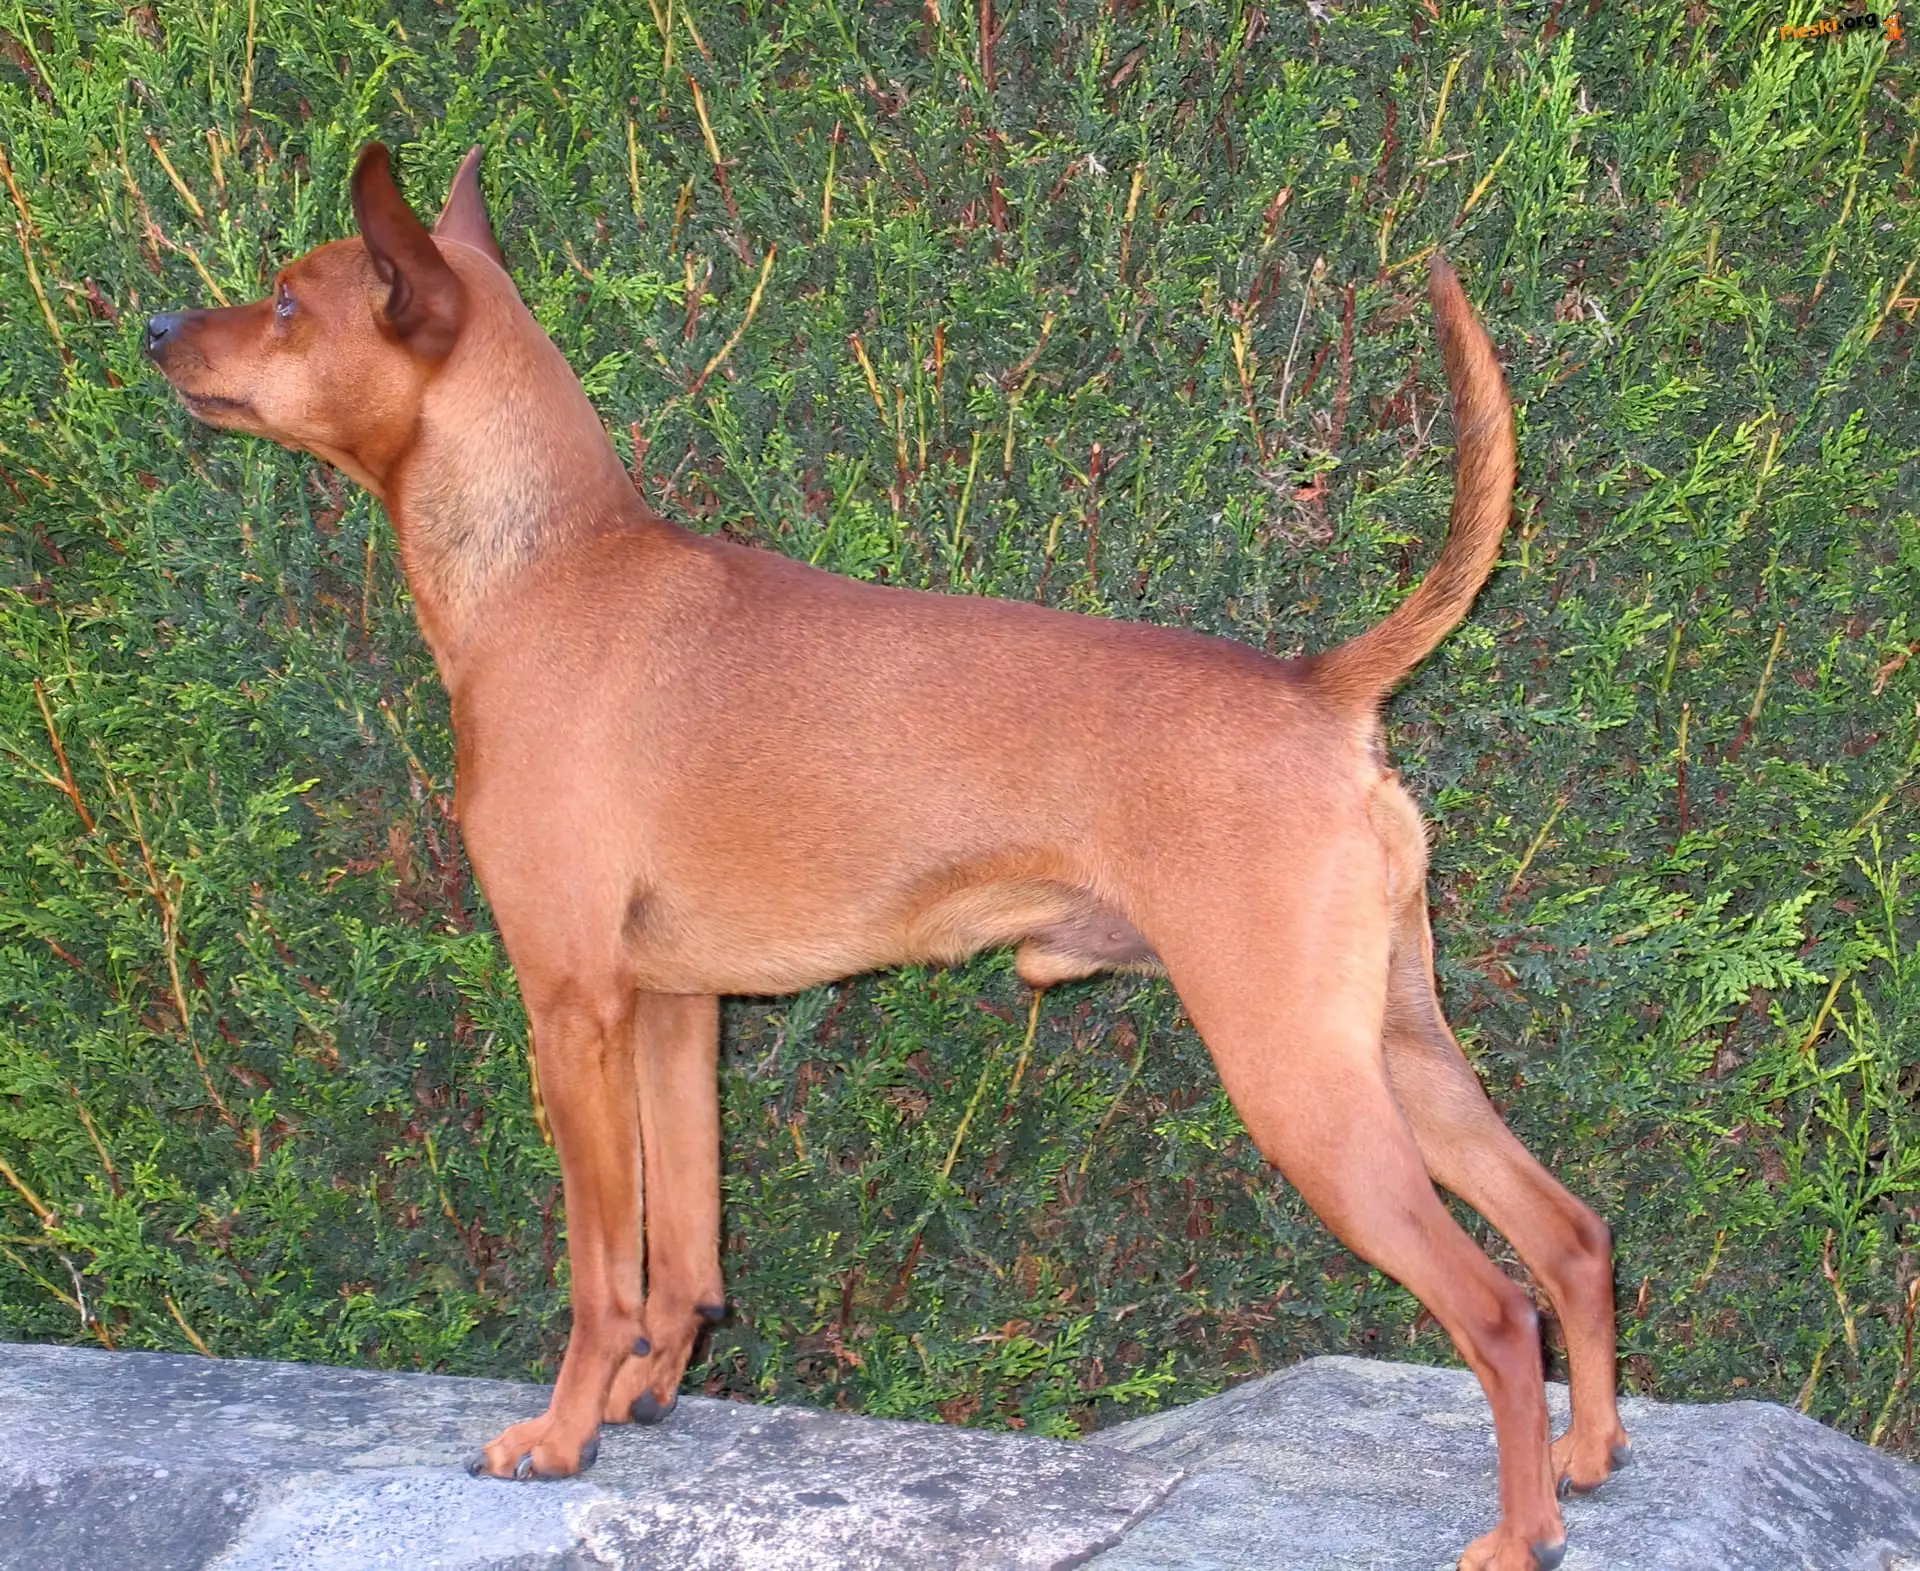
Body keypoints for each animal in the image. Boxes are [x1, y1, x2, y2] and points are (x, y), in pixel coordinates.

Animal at [146, 142, 1631, 1570]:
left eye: (288, 299)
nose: (157, 324)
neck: (548, 563)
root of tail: (1320, 689)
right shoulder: (674, 1012)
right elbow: (682, 1254)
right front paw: (647, 1394)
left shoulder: (570, 1008)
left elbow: (600, 1270)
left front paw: (563, 1435)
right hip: (1395, 1044)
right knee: (1569, 1231)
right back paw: (1590, 1457)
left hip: (1299, 1082)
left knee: (1498, 1304)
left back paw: (1519, 1532)